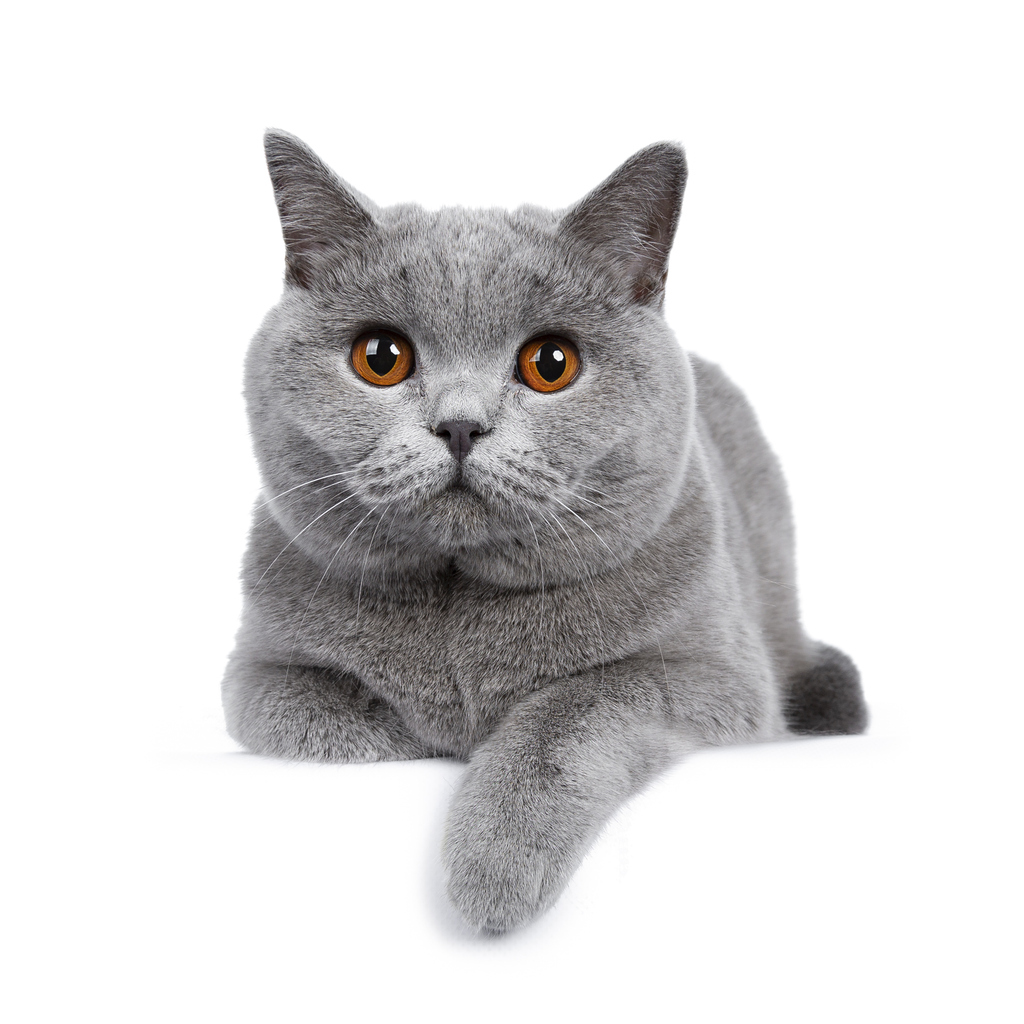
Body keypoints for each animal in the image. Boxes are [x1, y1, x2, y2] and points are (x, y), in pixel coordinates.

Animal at [222, 134, 864, 937]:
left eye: (550, 364)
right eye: (381, 357)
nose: (460, 426)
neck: (458, 609)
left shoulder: (712, 677)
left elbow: (569, 712)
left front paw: (495, 866)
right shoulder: (256, 675)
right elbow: (332, 712)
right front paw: (425, 736)